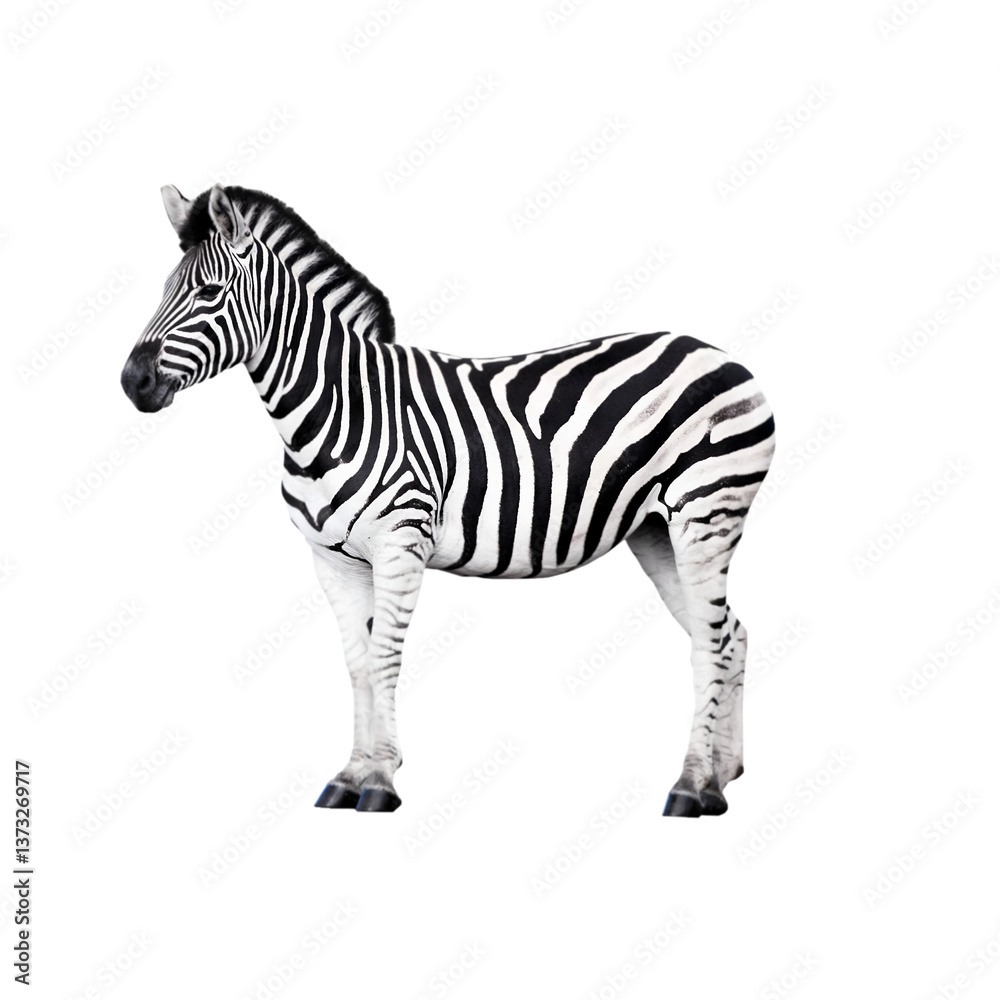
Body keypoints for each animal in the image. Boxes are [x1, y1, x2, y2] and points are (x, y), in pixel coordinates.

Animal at [120, 183, 776, 817]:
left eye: (209, 292)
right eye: (163, 290)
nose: (132, 382)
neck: (338, 410)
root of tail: (722, 355)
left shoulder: (400, 544)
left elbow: (384, 657)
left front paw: (379, 781)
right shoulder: (331, 560)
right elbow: (357, 663)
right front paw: (350, 776)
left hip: (706, 513)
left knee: (710, 644)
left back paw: (689, 788)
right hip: (656, 531)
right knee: (729, 634)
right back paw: (721, 777)